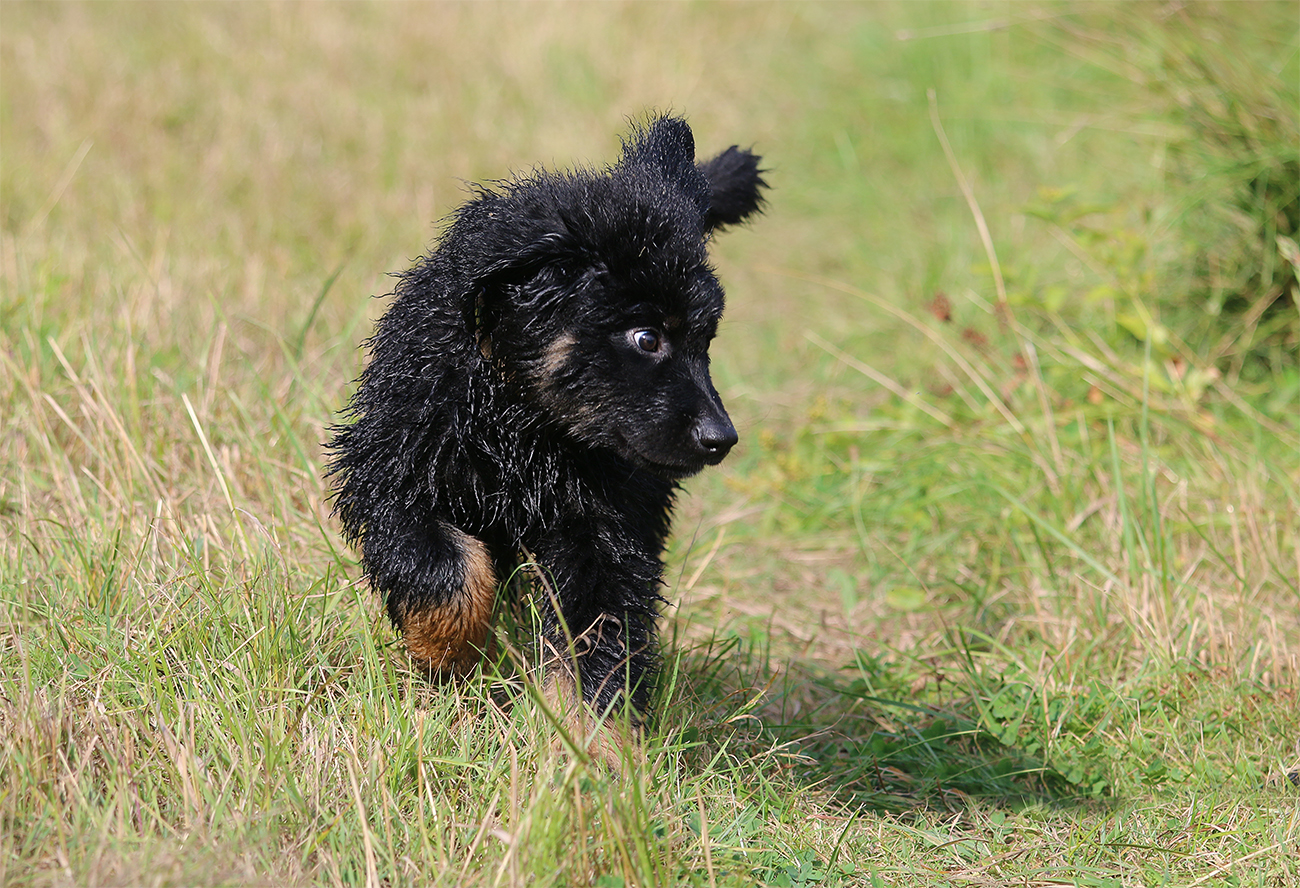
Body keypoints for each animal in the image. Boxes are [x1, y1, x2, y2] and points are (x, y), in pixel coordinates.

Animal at [326, 115, 765, 753]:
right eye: (647, 338)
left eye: (706, 341)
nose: (721, 439)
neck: (525, 423)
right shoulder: (395, 476)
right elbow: (447, 573)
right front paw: (450, 655)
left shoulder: (607, 530)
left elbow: (598, 642)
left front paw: (590, 749)